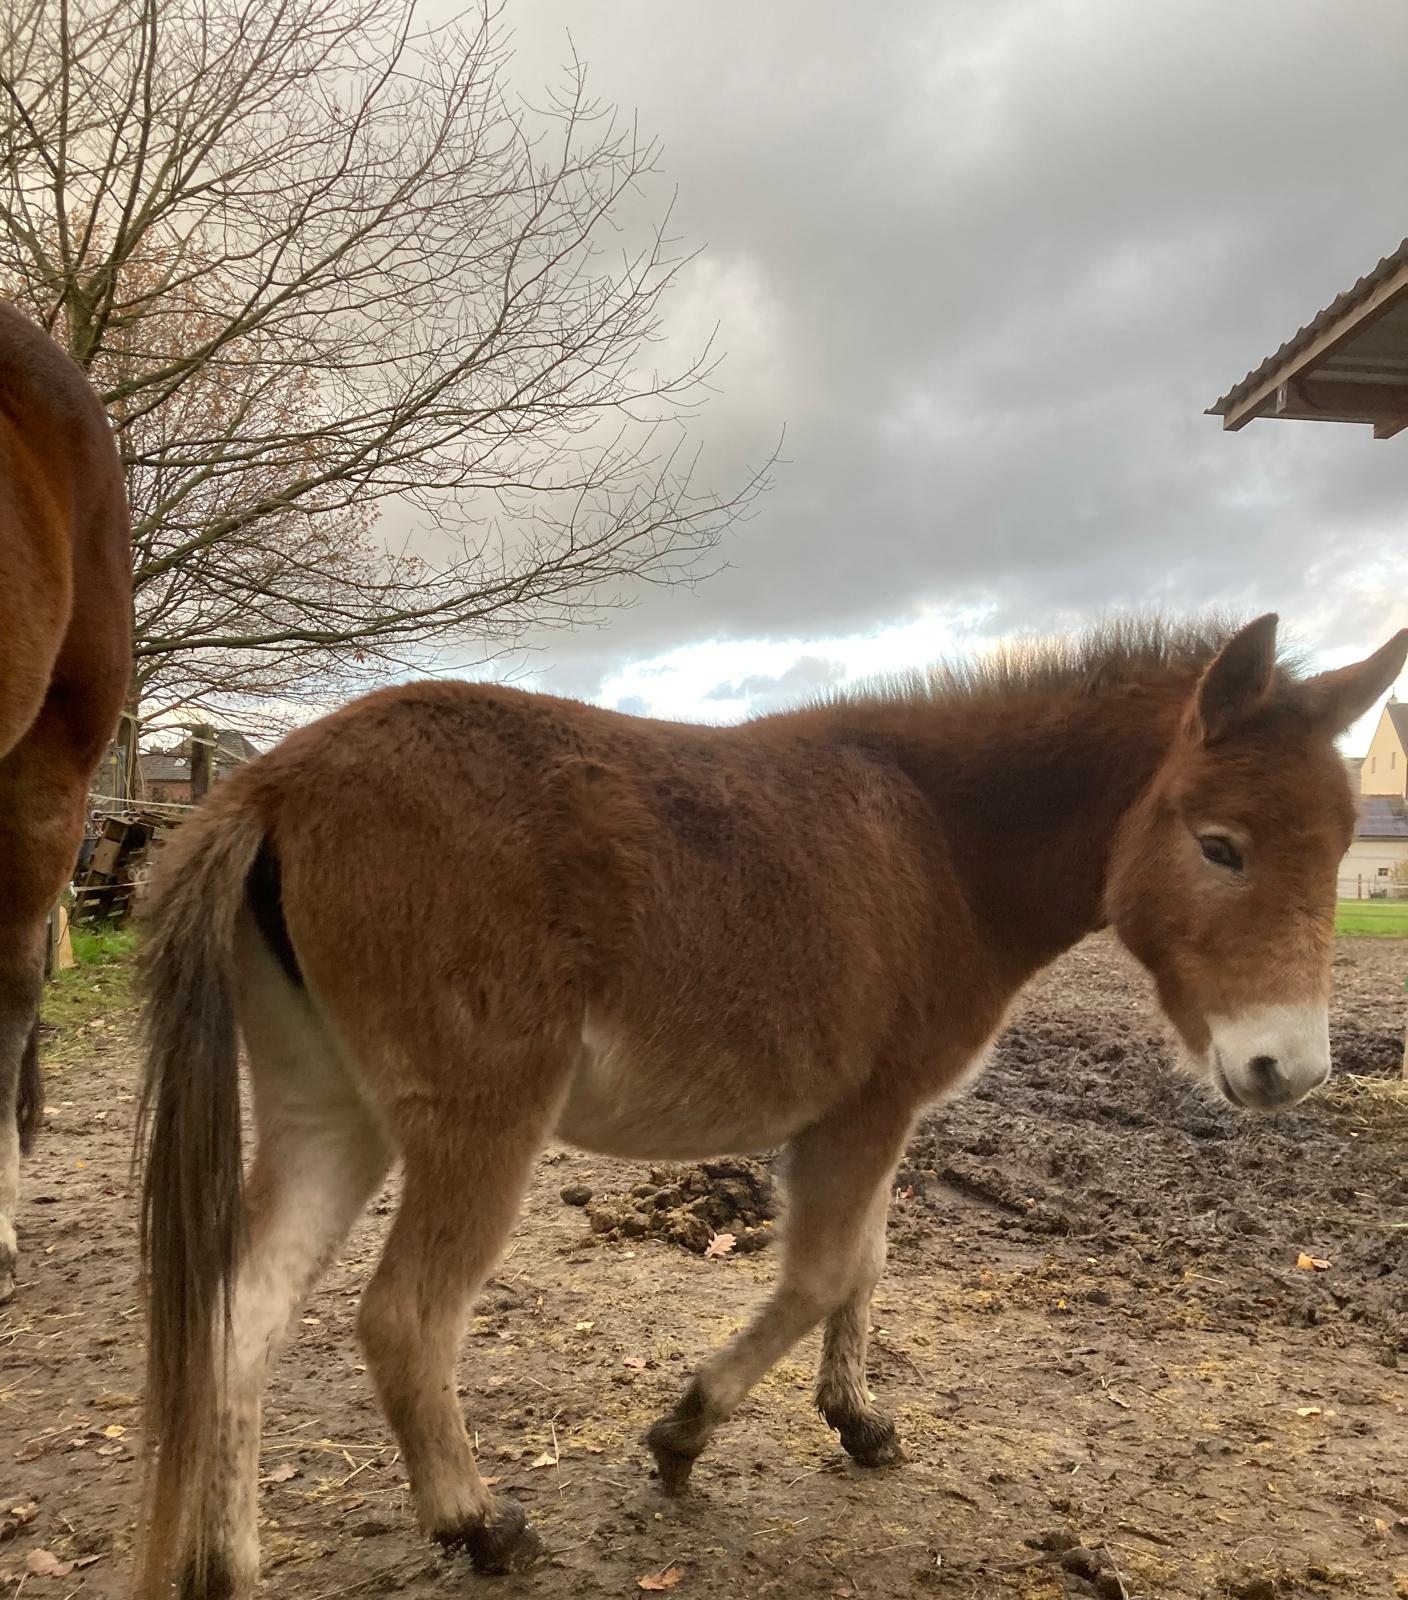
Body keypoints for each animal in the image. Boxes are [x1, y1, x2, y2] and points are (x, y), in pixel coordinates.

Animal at [132, 613, 1405, 1599]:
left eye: (1343, 844)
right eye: (1220, 845)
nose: (1287, 1069)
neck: (939, 841)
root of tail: (275, 777)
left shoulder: (876, 1119)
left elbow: (865, 1267)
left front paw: (859, 1418)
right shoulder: (863, 1114)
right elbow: (820, 1274)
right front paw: (685, 1431)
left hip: (328, 1114)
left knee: (240, 1317)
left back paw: (224, 1560)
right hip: (477, 1127)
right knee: (403, 1316)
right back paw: (479, 1522)